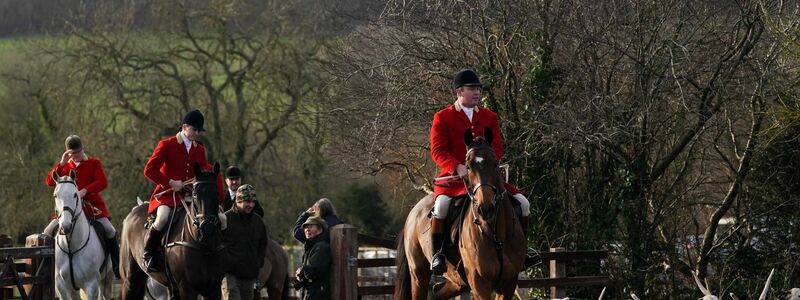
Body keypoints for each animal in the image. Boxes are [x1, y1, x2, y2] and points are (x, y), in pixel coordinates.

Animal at [119, 163, 225, 298]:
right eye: (195, 194)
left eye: (217, 194)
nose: (206, 228)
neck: (204, 246)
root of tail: (133, 213)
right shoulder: (187, 288)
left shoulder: (213, 289)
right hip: (130, 282)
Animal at [392, 131, 524, 300]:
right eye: (468, 167)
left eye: (495, 164)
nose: (485, 208)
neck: (496, 235)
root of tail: (413, 213)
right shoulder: (479, 283)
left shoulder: (509, 283)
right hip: (418, 275)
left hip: (457, 281)